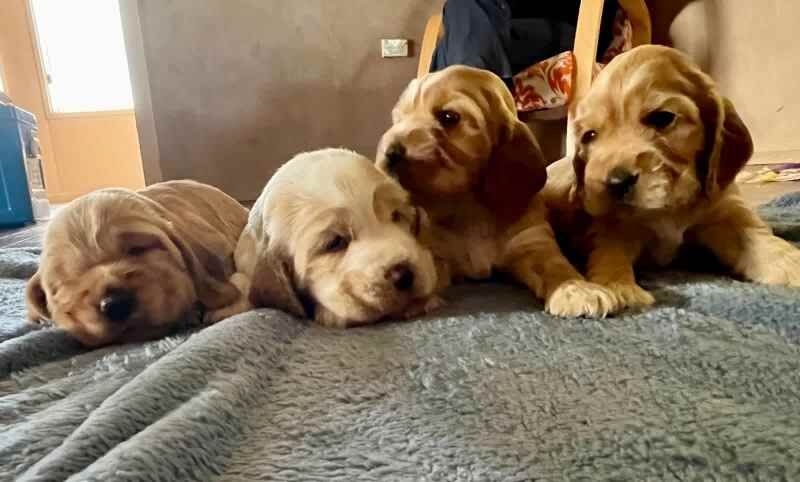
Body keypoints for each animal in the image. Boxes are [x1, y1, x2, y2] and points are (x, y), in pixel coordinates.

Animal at [376, 65, 620, 320]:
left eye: (448, 117)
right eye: (398, 119)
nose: (390, 153)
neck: (469, 208)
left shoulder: (533, 243)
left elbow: (557, 267)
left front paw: (577, 289)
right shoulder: (436, 252)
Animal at [544, 45, 800, 308]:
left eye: (662, 118)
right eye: (589, 135)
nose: (616, 182)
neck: (668, 208)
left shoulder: (726, 211)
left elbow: (760, 239)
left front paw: (792, 265)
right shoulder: (612, 229)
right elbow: (608, 253)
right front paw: (619, 287)